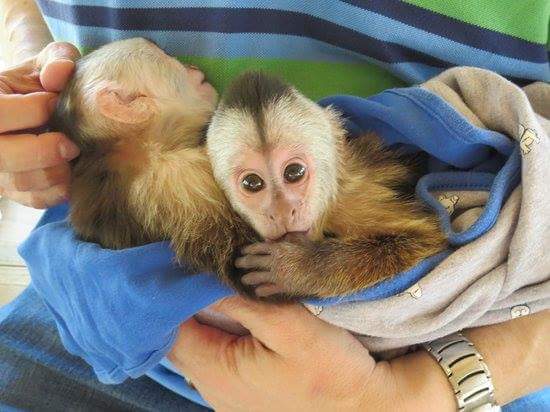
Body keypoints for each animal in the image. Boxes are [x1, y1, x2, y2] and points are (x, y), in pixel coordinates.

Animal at [208, 71, 448, 300]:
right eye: (252, 183)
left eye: (294, 172)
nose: (282, 212)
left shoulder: (353, 202)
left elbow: (424, 237)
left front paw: (298, 269)